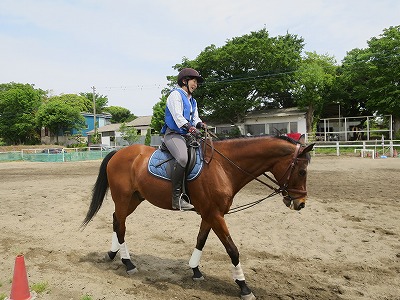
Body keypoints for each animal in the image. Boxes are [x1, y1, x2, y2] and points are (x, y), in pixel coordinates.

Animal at [83, 135, 314, 298]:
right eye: (302, 171)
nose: (301, 203)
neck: (224, 167)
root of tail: (118, 153)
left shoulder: (210, 214)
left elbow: (201, 239)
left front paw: (195, 270)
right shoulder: (215, 215)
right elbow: (232, 249)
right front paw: (243, 286)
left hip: (134, 199)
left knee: (116, 220)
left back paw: (113, 254)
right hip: (123, 198)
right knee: (121, 224)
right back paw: (128, 263)